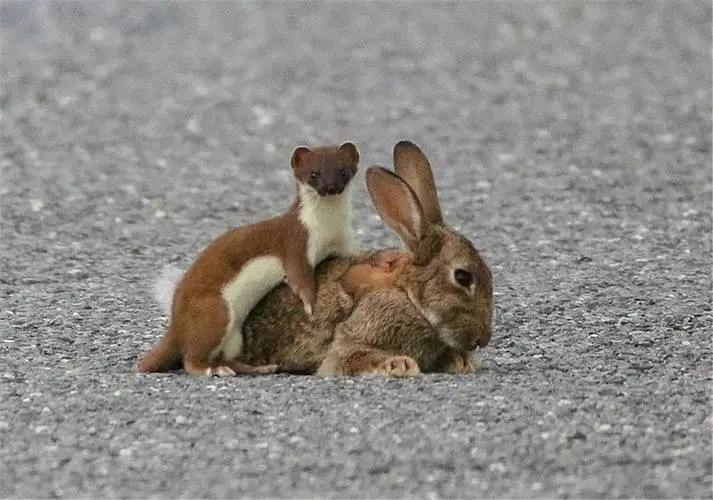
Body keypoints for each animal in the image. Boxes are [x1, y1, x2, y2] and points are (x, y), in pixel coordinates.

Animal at [138, 143, 358, 376]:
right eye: (314, 173)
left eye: (342, 170)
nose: (331, 186)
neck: (328, 230)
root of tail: (176, 324)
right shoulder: (296, 244)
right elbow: (299, 279)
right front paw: (311, 307)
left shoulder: (343, 242)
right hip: (214, 310)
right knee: (191, 357)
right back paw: (214, 370)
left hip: (236, 336)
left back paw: (259, 367)